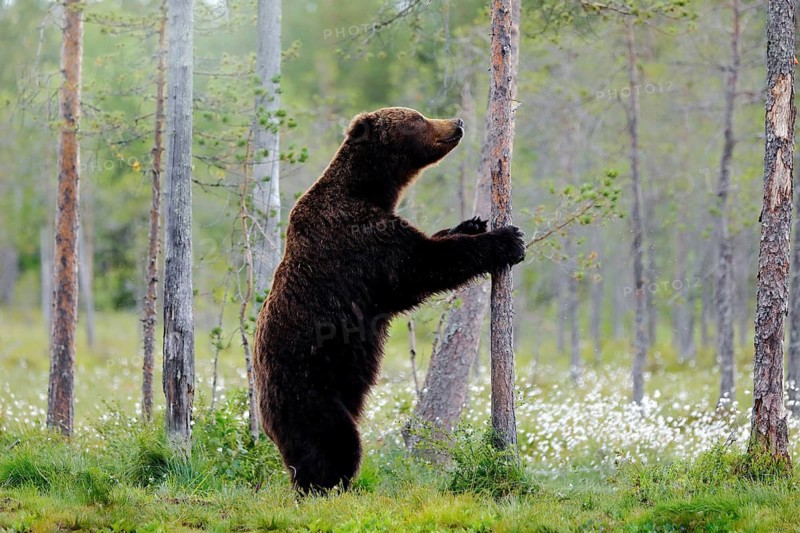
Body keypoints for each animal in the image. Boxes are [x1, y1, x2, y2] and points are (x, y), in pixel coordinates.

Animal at [253, 107, 526, 494]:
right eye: (418, 119)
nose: (456, 123)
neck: (369, 189)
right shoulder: (360, 241)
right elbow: (419, 266)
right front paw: (507, 239)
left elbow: (428, 247)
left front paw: (471, 224)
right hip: (308, 388)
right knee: (332, 442)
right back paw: (328, 487)